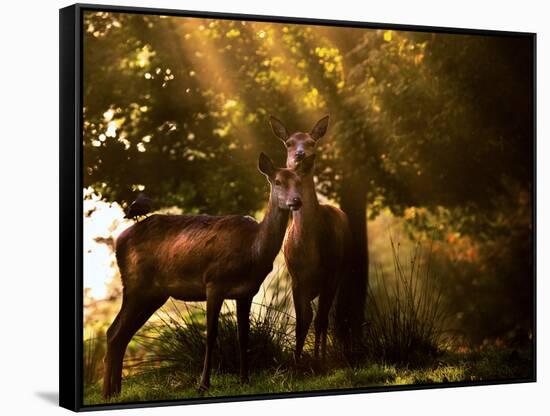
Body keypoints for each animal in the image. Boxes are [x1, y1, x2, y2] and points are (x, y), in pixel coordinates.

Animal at [101, 151, 312, 398]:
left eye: (299, 181)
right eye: (277, 181)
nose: (296, 201)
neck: (253, 250)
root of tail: (118, 241)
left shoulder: (247, 291)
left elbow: (243, 336)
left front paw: (245, 379)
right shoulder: (214, 282)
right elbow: (211, 335)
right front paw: (203, 385)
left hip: (153, 293)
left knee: (121, 334)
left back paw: (115, 391)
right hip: (135, 284)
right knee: (114, 331)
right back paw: (107, 392)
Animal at [270, 115, 352, 362]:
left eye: (311, 142)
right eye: (288, 143)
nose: (300, 154)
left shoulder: (331, 273)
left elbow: (320, 320)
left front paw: (318, 361)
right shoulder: (297, 278)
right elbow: (302, 321)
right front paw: (297, 361)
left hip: (341, 273)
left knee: (327, 318)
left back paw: (323, 355)